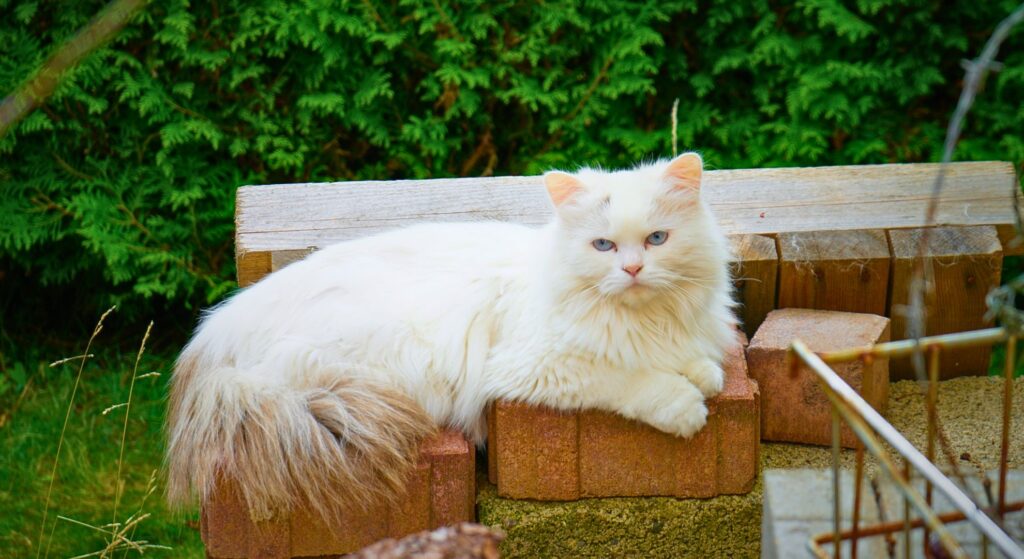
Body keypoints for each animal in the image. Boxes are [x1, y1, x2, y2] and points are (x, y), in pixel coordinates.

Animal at [165, 151, 737, 518]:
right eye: (603, 246)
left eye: (657, 239)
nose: (634, 270)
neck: (643, 318)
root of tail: (214, 332)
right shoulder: (537, 365)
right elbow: (629, 377)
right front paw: (684, 405)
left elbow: (692, 358)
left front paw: (703, 374)